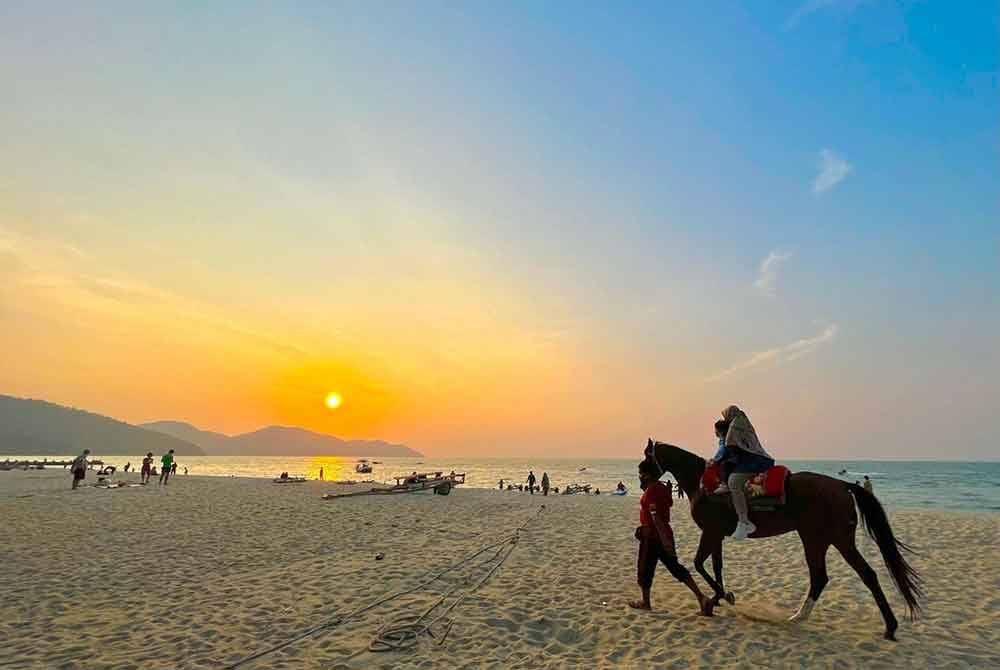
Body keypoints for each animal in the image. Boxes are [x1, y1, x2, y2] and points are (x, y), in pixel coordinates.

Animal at [648, 440, 920, 640]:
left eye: (646, 457)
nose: (642, 480)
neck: (703, 484)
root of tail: (843, 485)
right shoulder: (716, 534)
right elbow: (715, 566)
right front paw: (720, 597)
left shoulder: (711, 532)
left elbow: (700, 564)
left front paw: (719, 598)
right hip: (825, 540)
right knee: (850, 575)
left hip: (822, 539)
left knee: (836, 576)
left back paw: (801, 617)